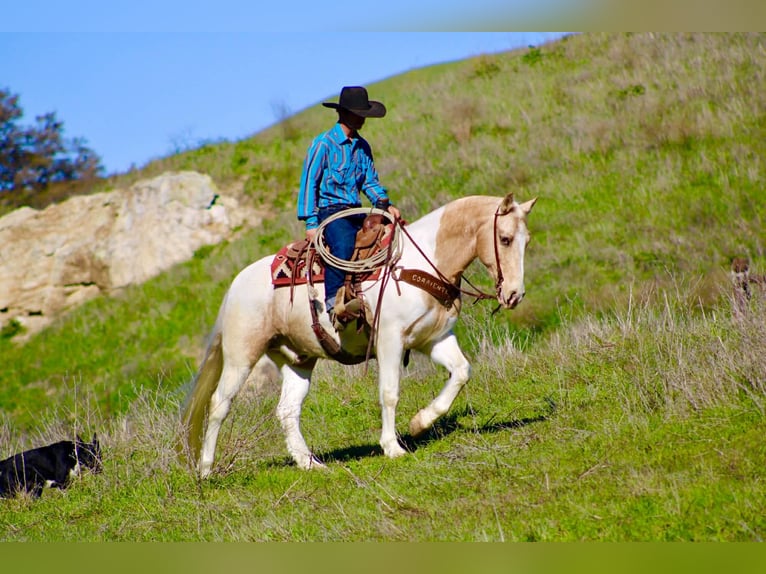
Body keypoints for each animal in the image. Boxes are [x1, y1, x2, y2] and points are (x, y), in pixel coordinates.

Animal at [180, 192, 537, 477]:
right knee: (219, 403)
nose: (515, 294)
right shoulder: (390, 340)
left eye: (527, 241)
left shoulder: (433, 339)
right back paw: (207, 470)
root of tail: (236, 284)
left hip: (297, 360)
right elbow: (390, 392)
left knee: (287, 410)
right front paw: (392, 447)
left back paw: (309, 463)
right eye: (505, 239)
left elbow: (461, 372)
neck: (421, 263)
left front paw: (420, 423)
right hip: (242, 356)